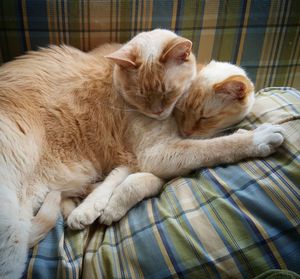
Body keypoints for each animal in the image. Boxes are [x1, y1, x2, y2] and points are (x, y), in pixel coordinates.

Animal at [0, 29, 196, 279]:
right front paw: (92, 209)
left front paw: (100, 206)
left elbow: (128, 182)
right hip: (12, 221)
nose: (157, 111)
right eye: (140, 95)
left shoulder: (137, 160)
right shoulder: (148, 155)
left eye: (167, 93)